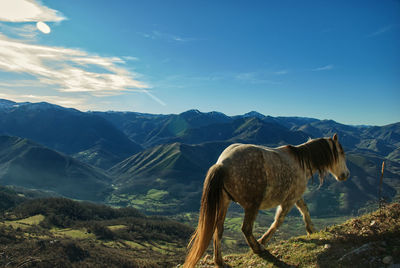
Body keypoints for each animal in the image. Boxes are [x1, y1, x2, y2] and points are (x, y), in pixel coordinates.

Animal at [184, 133, 350, 266]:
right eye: (341, 152)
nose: (346, 175)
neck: (301, 162)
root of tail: (222, 164)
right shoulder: (288, 200)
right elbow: (278, 221)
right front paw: (263, 240)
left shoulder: (295, 196)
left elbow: (304, 209)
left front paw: (311, 230)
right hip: (252, 205)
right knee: (246, 228)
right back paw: (257, 248)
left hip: (225, 202)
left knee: (219, 229)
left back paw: (219, 261)